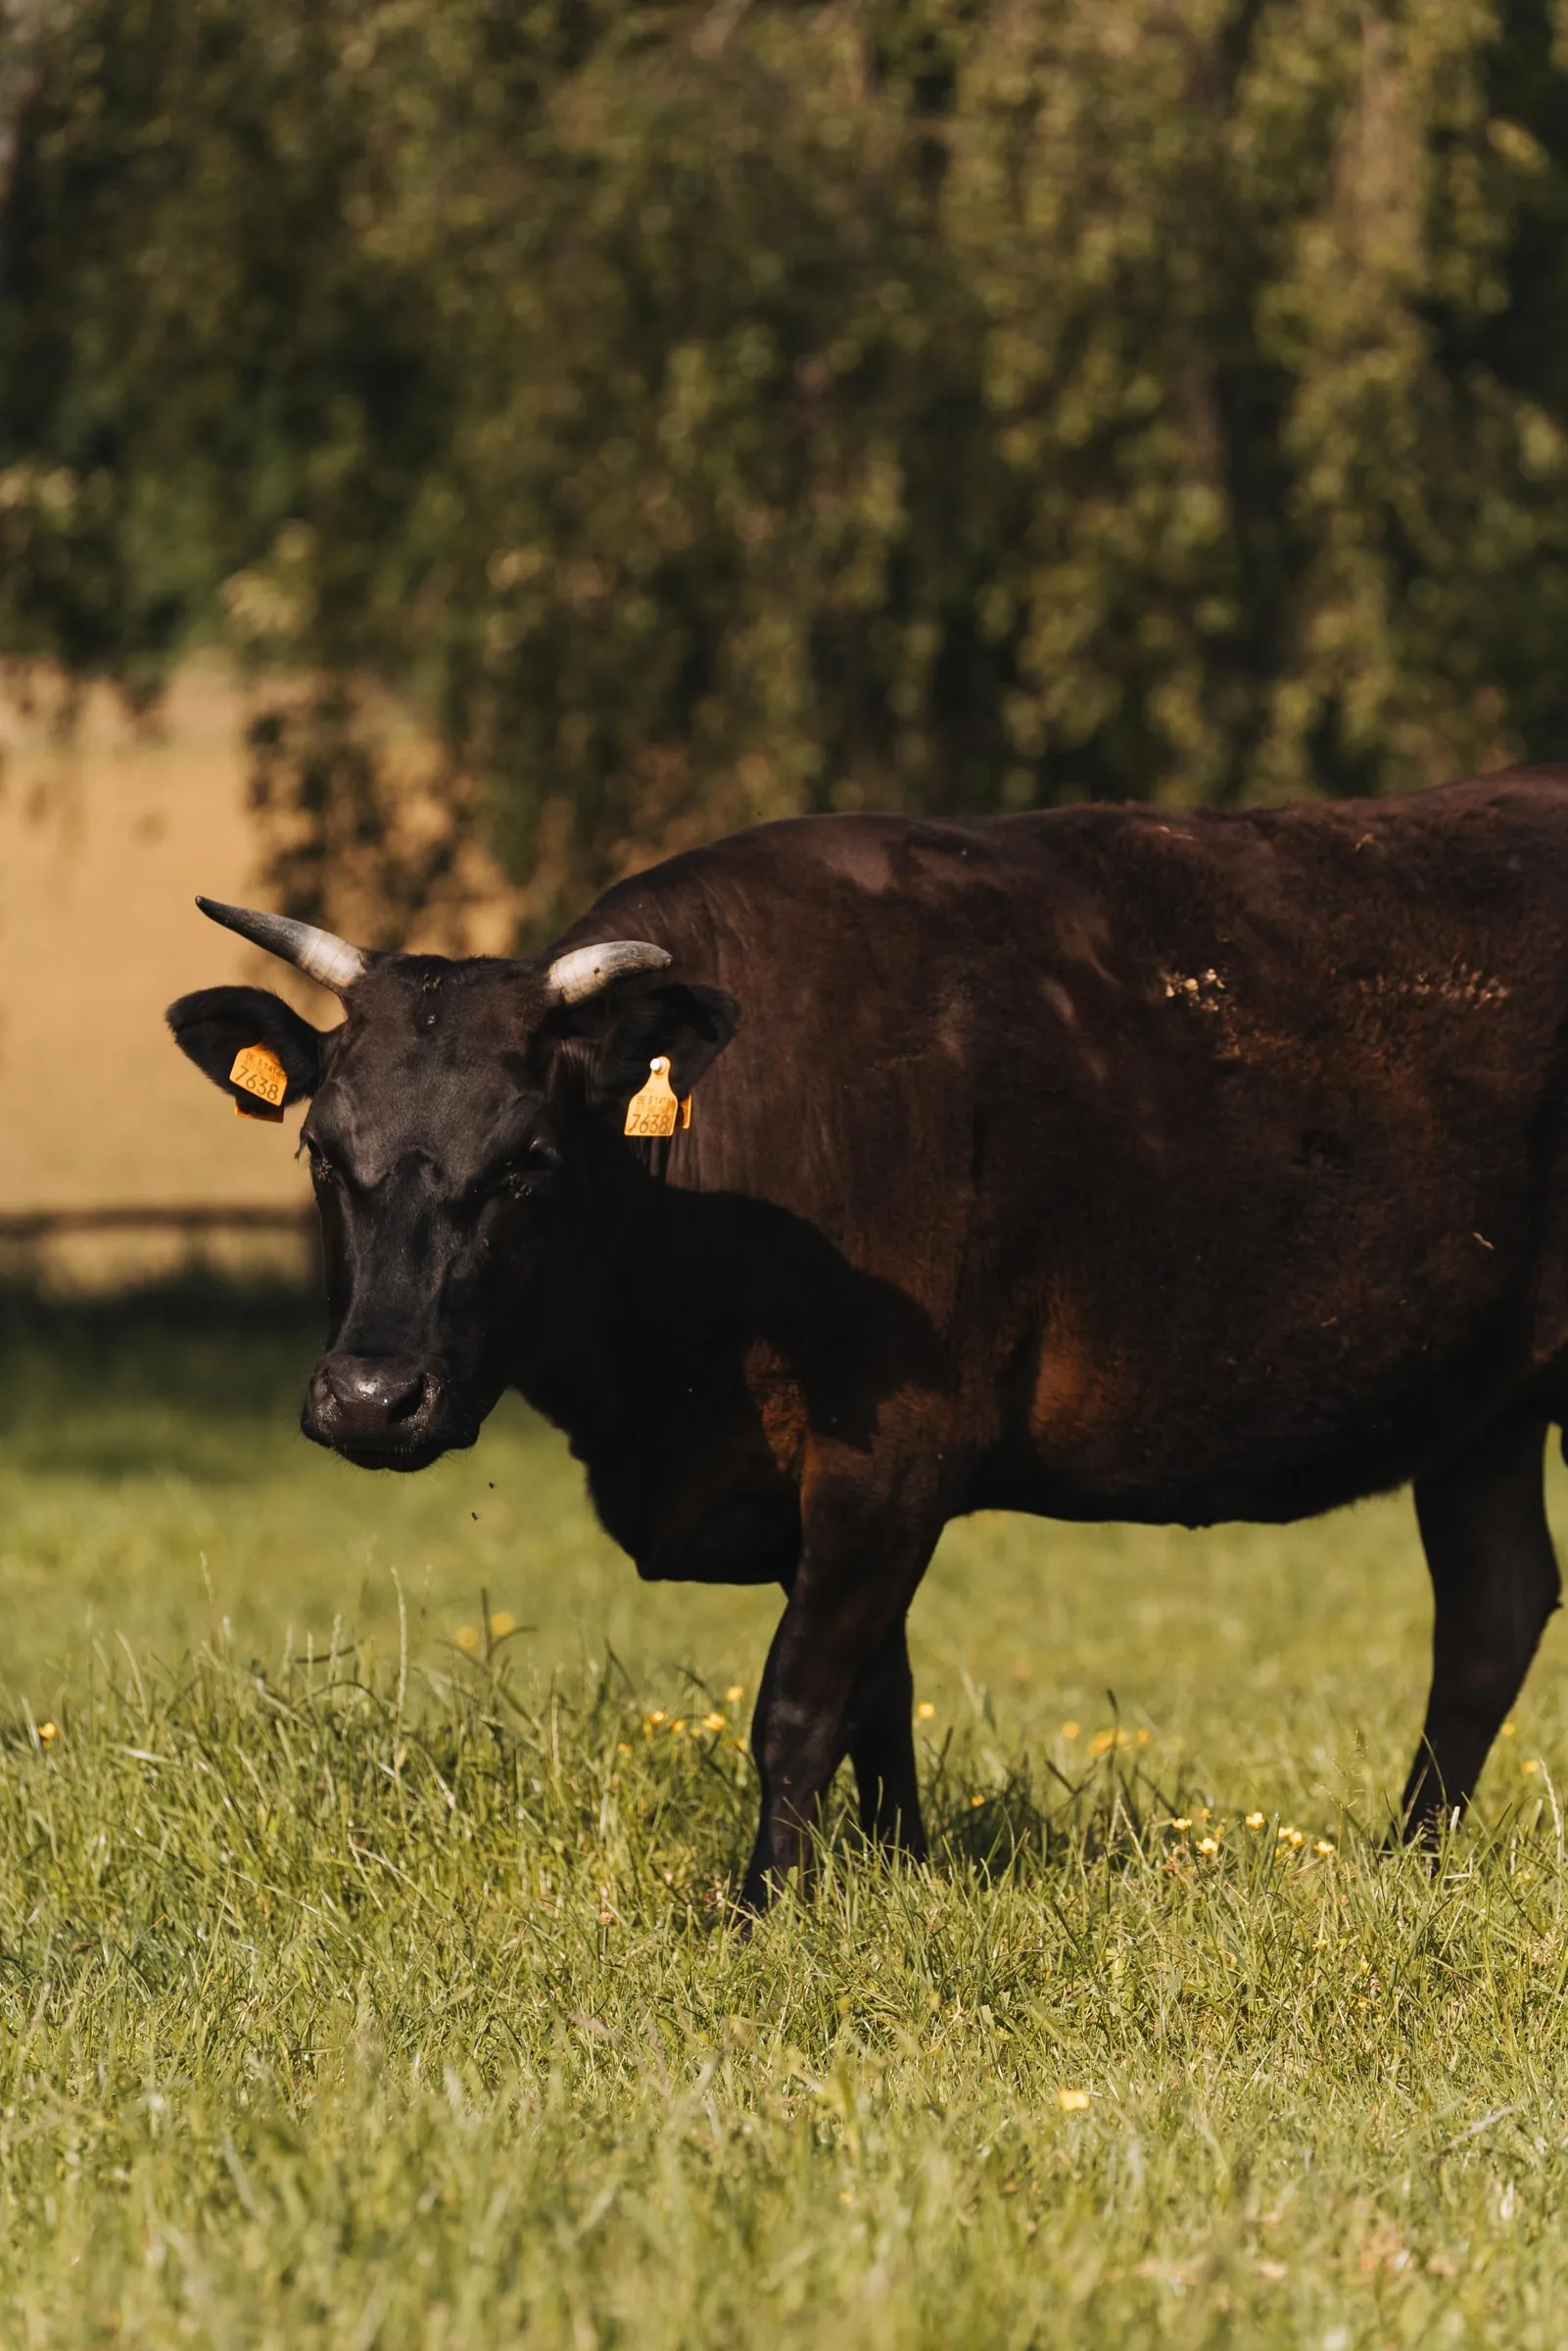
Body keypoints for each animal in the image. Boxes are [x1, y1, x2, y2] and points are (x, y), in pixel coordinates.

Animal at [168, 772, 1568, 1910]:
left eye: (525, 1160)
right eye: (320, 1149)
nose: (370, 1396)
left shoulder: (889, 1449)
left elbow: (800, 1700)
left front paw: (760, 1912)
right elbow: (875, 1699)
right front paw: (897, 1873)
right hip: (1481, 1412)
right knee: (1489, 1616)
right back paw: (1409, 1861)